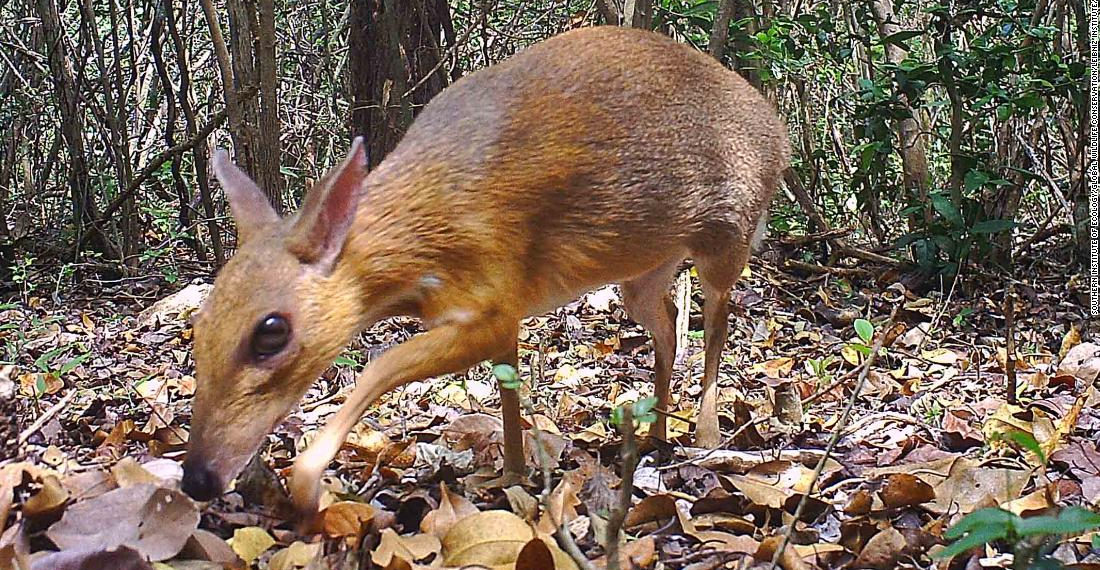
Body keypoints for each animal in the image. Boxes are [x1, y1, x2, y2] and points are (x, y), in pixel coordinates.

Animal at [181, 25, 790, 521]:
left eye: (271, 332)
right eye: (199, 324)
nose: (196, 478)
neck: (424, 232)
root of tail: (780, 131)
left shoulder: (492, 297)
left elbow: (378, 367)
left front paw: (307, 485)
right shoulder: (503, 310)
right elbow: (506, 385)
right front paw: (513, 473)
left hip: (728, 234)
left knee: (716, 323)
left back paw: (706, 434)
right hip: (642, 271)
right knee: (665, 323)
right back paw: (656, 434)